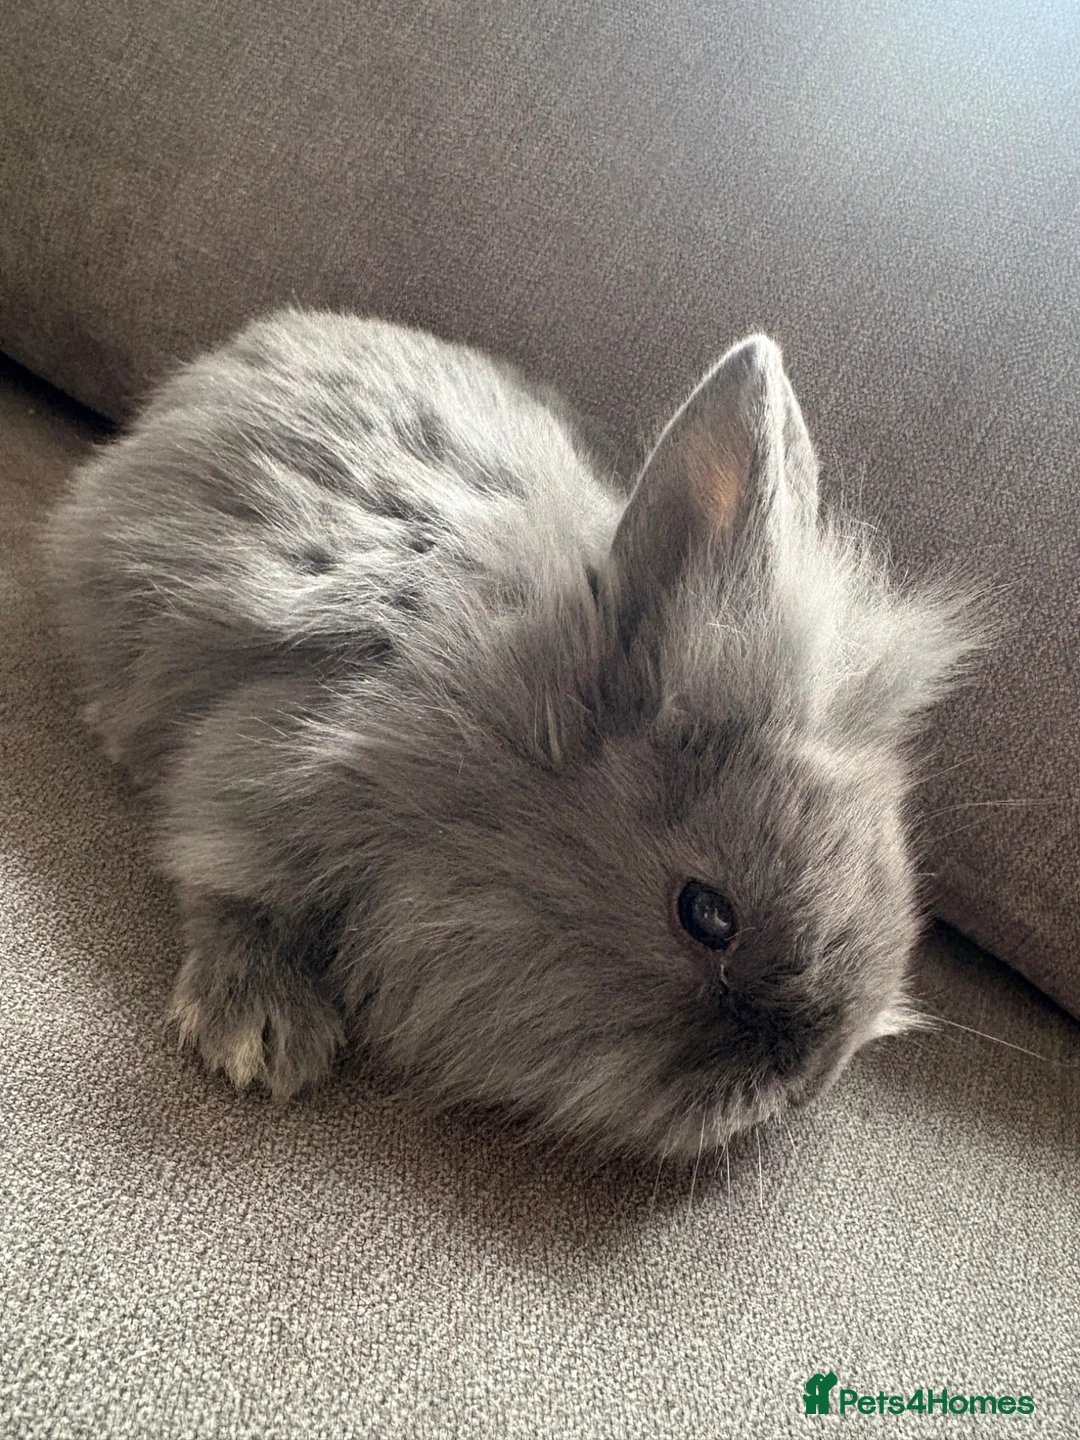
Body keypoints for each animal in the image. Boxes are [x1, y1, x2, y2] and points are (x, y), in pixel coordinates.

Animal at [45, 309, 978, 1163]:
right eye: (707, 915)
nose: (797, 1084)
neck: (494, 743)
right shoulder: (256, 770)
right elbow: (228, 882)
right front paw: (263, 1040)